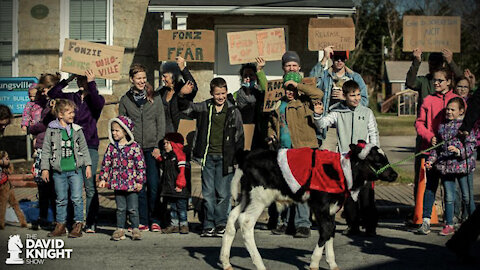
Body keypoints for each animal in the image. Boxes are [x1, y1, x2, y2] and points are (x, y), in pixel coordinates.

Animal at [220, 140, 398, 268]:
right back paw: (260, 264)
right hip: (260, 197)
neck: (340, 171)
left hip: (247, 196)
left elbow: (331, 230)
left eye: (385, 158)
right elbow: (326, 231)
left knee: (233, 217)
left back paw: (226, 261)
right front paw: (314, 263)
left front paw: (332, 264)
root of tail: (248, 155)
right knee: (245, 222)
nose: (394, 175)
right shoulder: (320, 205)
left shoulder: (331, 208)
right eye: (377, 161)